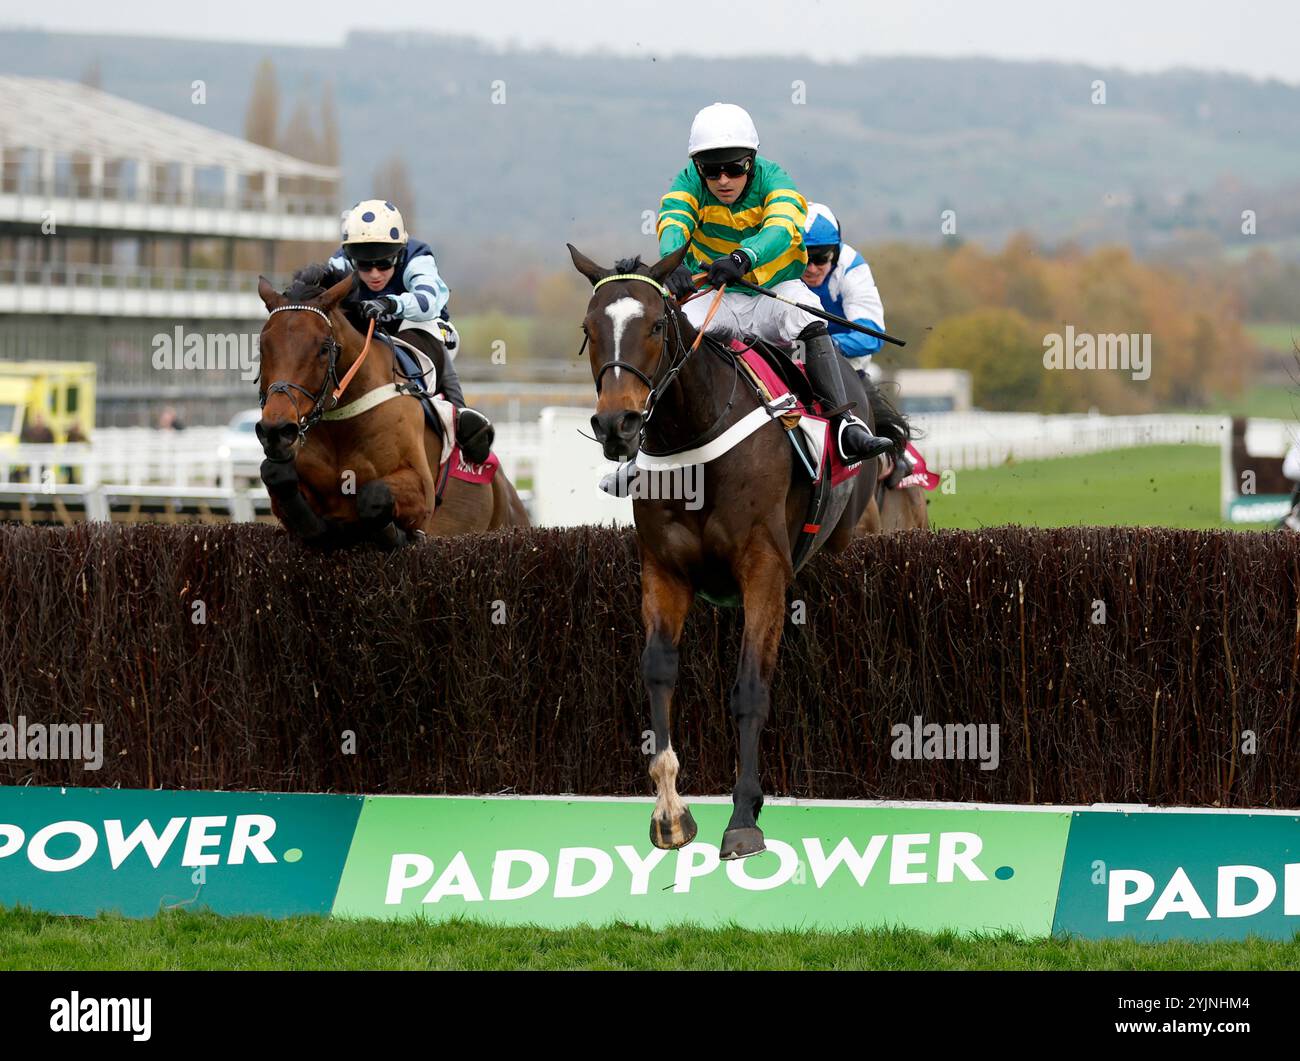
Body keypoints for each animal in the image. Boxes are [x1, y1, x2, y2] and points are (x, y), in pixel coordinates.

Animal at [253, 269, 527, 546]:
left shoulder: (421, 488)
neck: (341, 423)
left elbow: (374, 495)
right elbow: (275, 474)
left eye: (322, 348)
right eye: (262, 347)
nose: (277, 430)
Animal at [564, 244, 909, 858]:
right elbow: (658, 671)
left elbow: (749, 688)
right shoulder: (663, 571)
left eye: (656, 325)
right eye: (589, 329)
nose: (615, 424)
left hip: (850, 527)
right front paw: (670, 812)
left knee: (810, 324)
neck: (695, 438)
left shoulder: (764, 570)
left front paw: (744, 815)